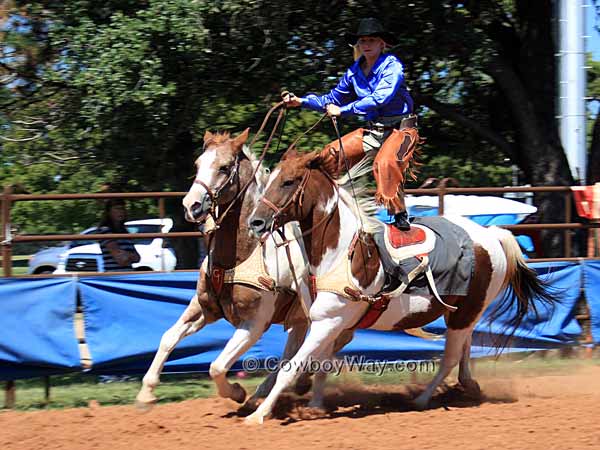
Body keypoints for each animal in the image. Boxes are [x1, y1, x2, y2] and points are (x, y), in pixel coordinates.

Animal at [135, 128, 314, 410]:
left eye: (224, 167)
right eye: (197, 164)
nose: (191, 205)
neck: (243, 254)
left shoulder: (254, 323)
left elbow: (217, 367)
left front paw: (237, 392)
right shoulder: (204, 308)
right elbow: (168, 337)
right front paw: (146, 392)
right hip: (299, 317)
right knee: (293, 350)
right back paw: (265, 392)